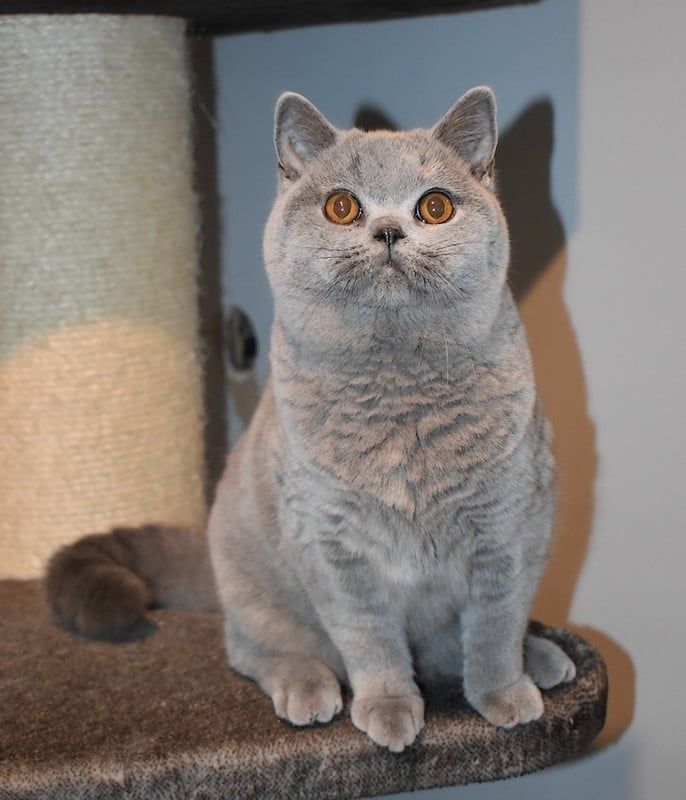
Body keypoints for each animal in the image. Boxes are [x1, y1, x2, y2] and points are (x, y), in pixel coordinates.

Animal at [45, 86, 576, 752]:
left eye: (434, 207)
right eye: (342, 207)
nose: (388, 231)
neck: (398, 388)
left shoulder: (508, 530)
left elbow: (494, 629)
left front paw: (504, 694)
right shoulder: (331, 542)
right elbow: (370, 637)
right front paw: (390, 709)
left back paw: (543, 659)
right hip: (253, 583)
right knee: (255, 648)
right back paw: (308, 688)